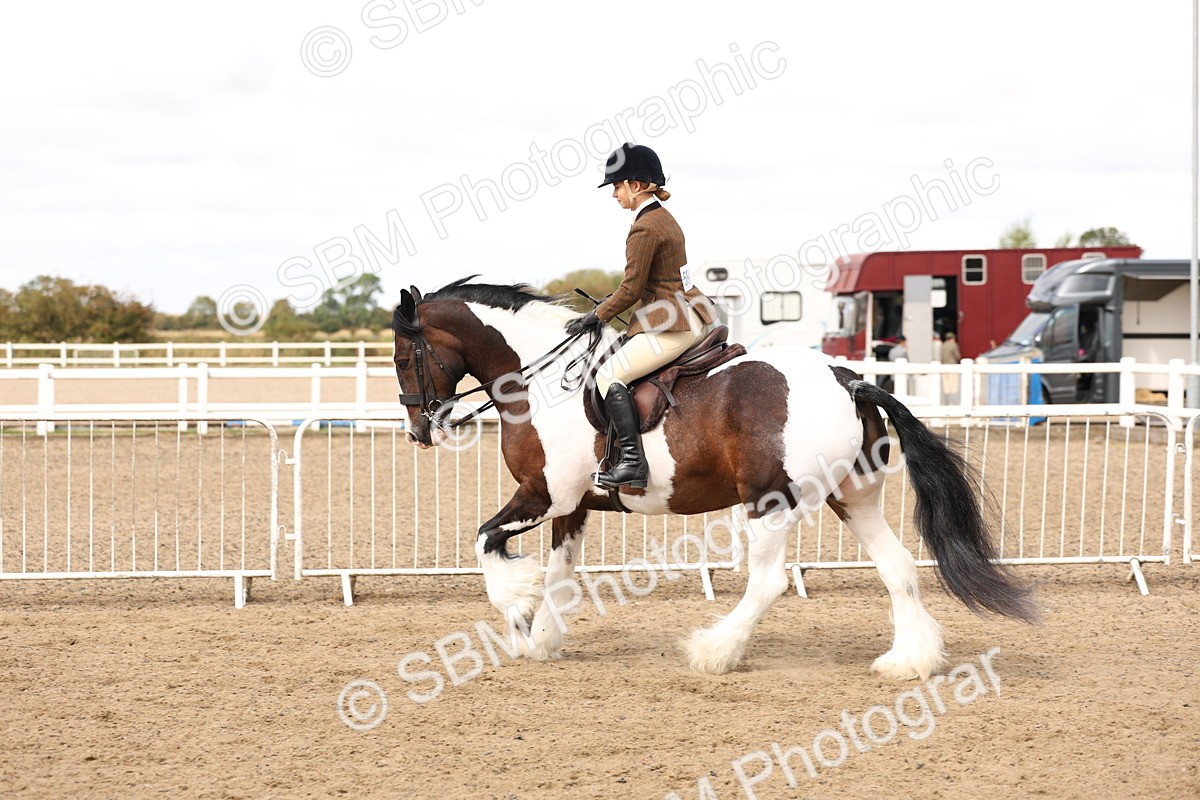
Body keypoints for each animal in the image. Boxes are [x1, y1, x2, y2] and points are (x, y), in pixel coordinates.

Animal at [390, 277, 1036, 679]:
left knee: (768, 583)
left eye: (403, 357)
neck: (541, 379)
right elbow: (557, 574)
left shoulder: (545, 495)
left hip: (771, 502)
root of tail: (848, 378)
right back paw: (909, 661)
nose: (420, 430)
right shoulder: (571, 506)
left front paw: (518, 610)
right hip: (853, 498)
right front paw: (541, 636)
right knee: (897, 566)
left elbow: (486, 541)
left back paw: (713, 651)